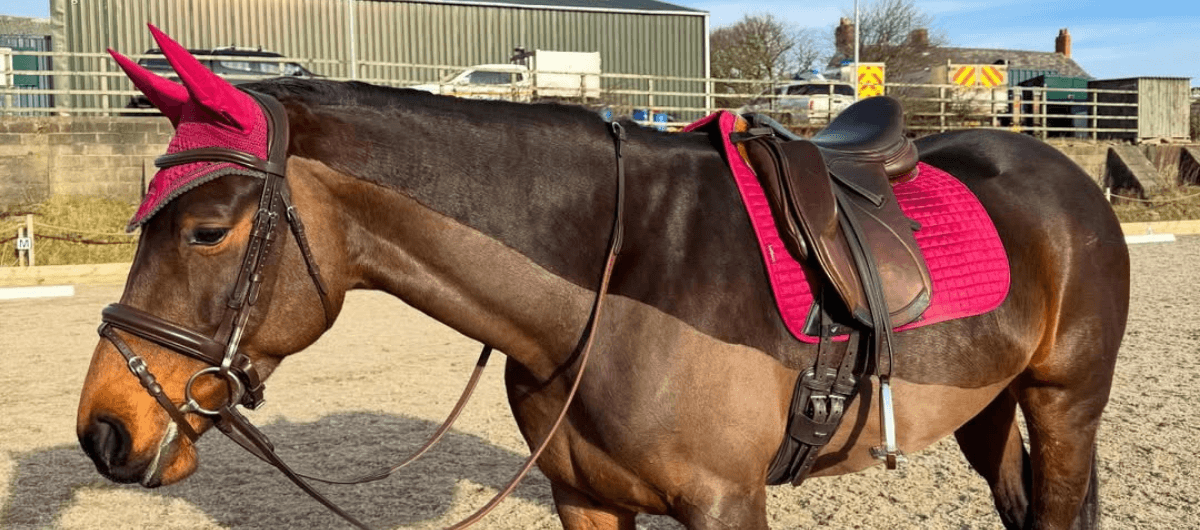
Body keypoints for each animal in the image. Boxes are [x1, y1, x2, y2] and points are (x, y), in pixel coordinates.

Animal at [78, 28, 1128, 530]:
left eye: (208, 230)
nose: (103, 430)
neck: (609, 290)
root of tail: (1070, 174)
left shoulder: (726, 505)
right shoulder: (584, 501)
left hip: (1064, 405)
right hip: (987, 405)